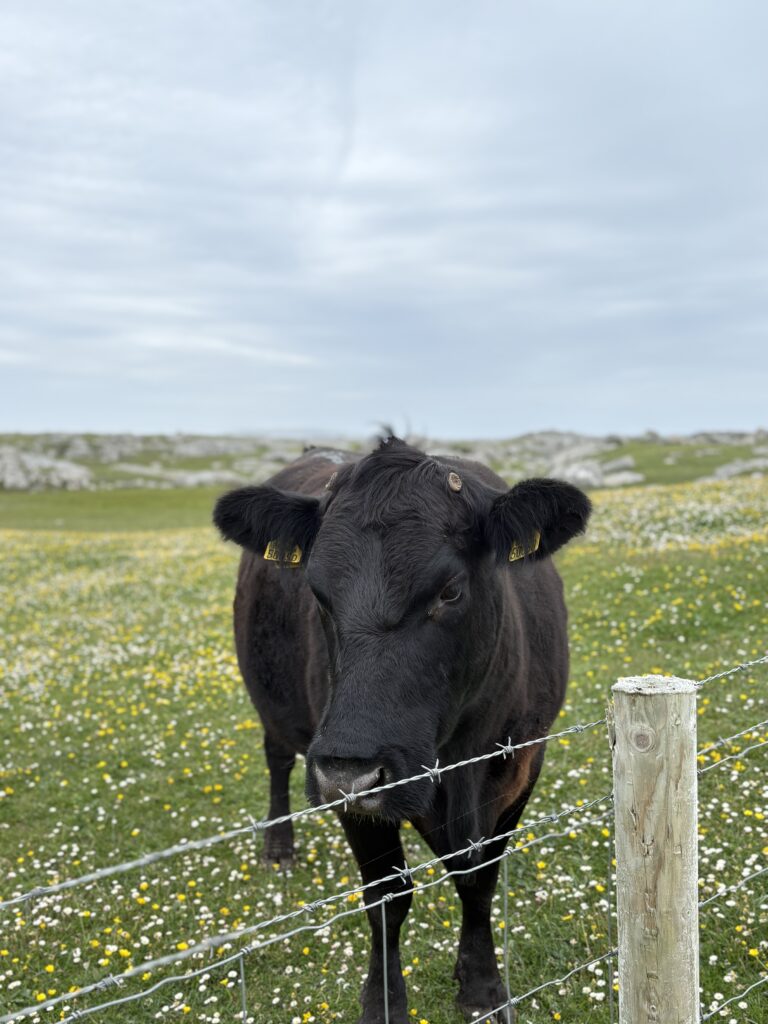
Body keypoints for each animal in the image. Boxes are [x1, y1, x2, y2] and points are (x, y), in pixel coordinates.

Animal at [213, 438, 591, 1024]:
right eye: (317, 593)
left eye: (450, 591)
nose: (350, 769)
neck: (456, 759)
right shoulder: (350, 792)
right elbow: (387, 897)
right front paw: (384, 1002)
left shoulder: (524, 759)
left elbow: (480, 880)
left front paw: (481, 987)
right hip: (272, 698)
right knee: (277, 757)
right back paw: (278, 845)